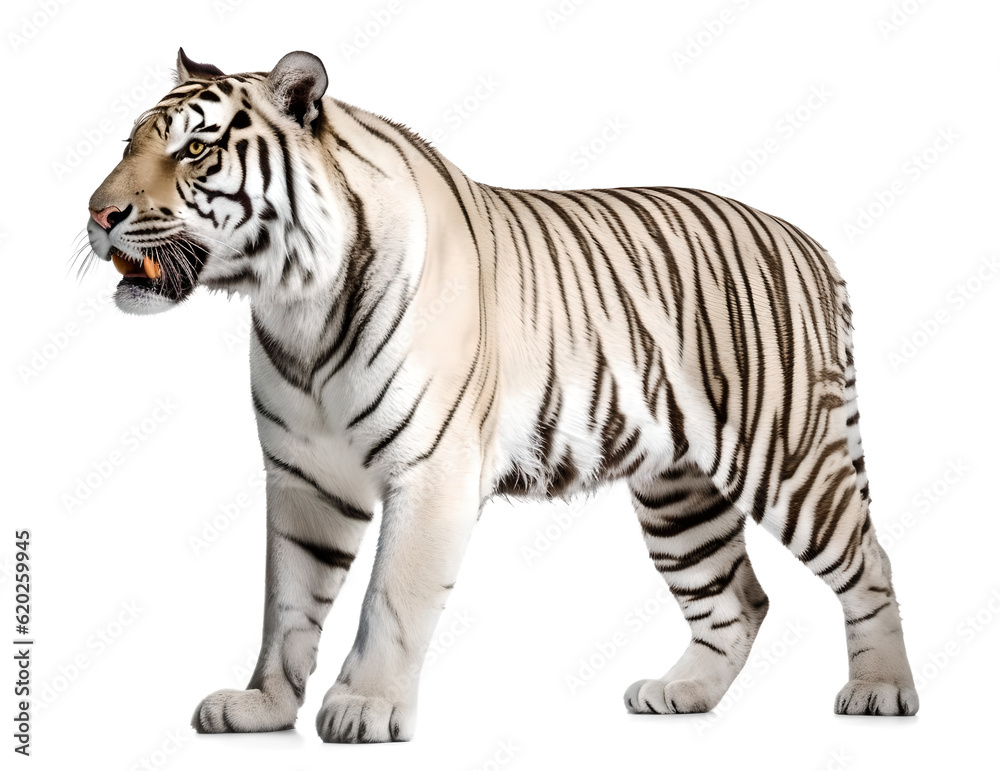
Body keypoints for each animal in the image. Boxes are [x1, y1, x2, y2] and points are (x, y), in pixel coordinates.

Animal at [83, 48, 919, 742]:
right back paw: (680, 694)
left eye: (195, 149)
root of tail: (809, 244)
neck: (295, 301)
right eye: (129, 144)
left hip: (789, 455)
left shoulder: (432, 470)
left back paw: (881, 691)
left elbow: (391, 596)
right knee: (738, 598)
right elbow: (286, 599)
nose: (98, 214)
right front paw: (262, 706)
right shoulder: (302, 478)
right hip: (679, 494)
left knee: (869, 559)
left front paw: (366, 706)